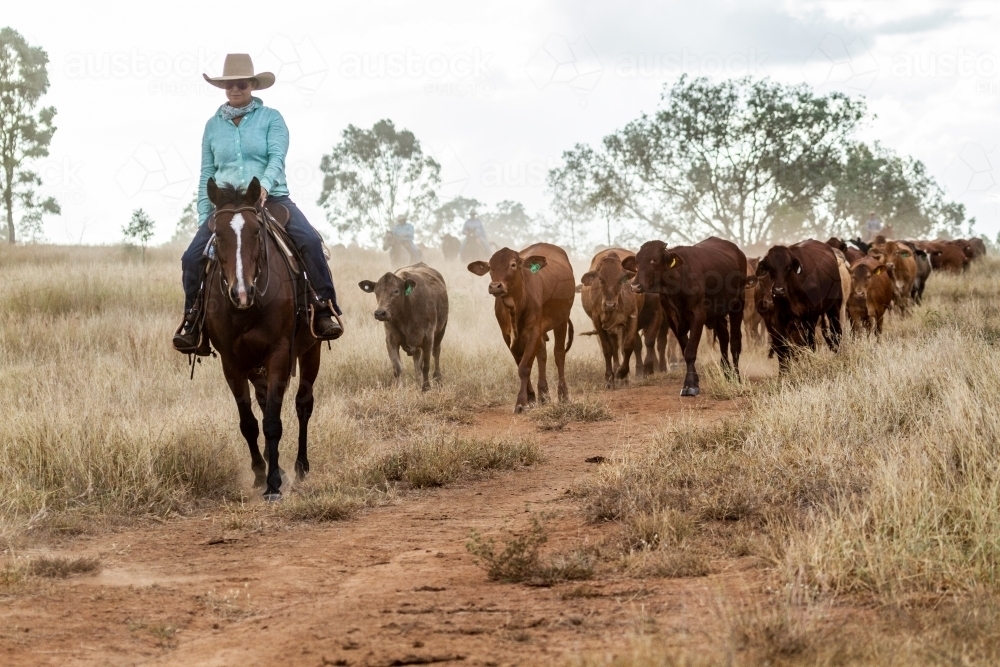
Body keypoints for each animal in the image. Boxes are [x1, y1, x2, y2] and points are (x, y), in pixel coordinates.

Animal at [205, 177, 322, 500]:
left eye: (256, 232)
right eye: (217, 234)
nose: (241, 292)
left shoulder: (279, 354)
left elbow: (272, 421)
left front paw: (273, 485)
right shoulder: (231, 363)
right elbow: (248, 422)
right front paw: (261, 473)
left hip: (311, 351)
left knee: (303, 404)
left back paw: (300, 467)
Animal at [358, 264, 448, 392]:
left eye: (396, 291)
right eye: (376, 292)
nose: (380, 313)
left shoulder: (428, 338)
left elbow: (425, 365)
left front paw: (426, 388)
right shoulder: (390, 340)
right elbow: (397, 367)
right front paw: (400, 389)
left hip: (441, 330)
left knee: (436, 352)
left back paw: (437, 379)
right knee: (417, 360)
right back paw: (418, 382)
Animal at [470, 245, 576, 412]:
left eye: (513, 264)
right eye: (490, 267)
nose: (495, 286)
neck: (516, 306)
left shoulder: (533, 331)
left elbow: (525, 367)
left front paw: (521, 403)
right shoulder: (508, 336)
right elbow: (521, 363)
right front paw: (531, 398)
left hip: (562, 320)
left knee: (559, 355)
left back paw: (563, 395)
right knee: (542, 354)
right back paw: (544, 395)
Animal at [628, 236, 748, 396]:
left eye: (654, 260)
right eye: (637, 260)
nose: (635, 286)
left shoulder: (698, 317)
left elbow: (690, 351)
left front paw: (690, 386)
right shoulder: (673, 320)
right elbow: (685, 350)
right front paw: (694, 382)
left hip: (737, 305)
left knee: (735, 341)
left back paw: (736, 376)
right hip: (717, 315)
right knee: (724, 337)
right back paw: (727, 374)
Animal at [756, 241, 844, 376]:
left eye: (788, 267)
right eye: (770, 268)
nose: (778, 290)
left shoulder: (810, 318)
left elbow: (809, 344)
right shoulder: (780, 319)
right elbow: (783, 348)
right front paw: (783, 374)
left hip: (834, 308)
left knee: (836, 333)